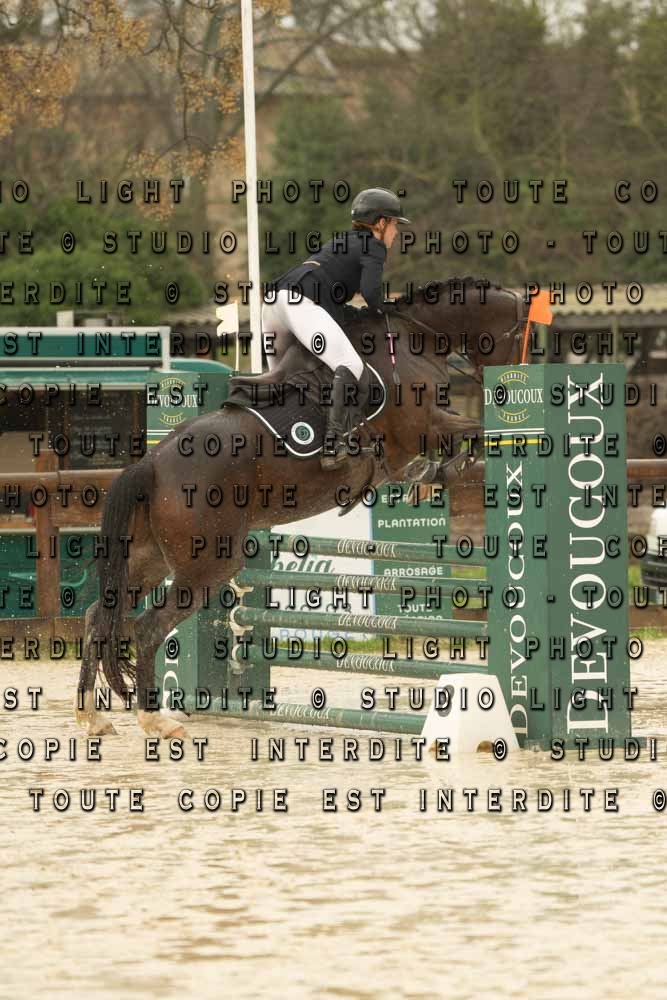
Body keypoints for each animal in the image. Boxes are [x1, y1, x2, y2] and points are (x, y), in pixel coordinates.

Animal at [75, 277, 526, 738]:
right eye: (519, 337)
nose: (497, 384)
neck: (415, 339)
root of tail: (150, 464)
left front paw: (433, 475)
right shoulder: (426, 425)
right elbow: (475, 431)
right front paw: (447, 467)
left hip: (151, 558)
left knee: (97, 615)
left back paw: (92, 716)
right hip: (208, 564)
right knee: (148, 629)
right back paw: (157, 721)